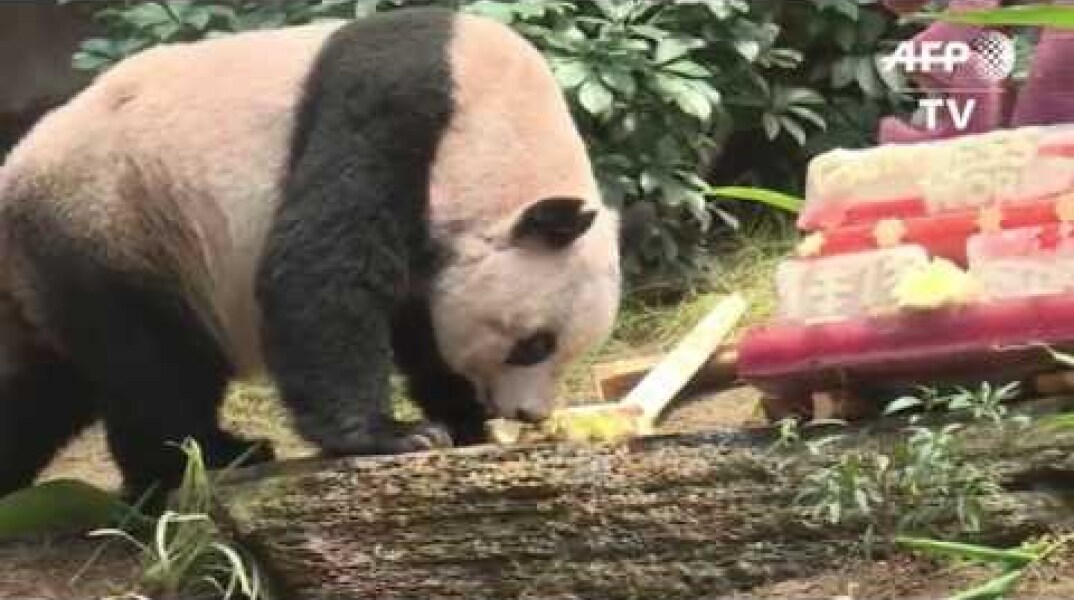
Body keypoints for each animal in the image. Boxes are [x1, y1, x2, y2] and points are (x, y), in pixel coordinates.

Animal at [0, 7, 621, 500]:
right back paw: (202, 462)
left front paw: (462, 416)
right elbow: (322, 268)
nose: (529, 414)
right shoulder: (390, 109)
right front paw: (395, 435)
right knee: (158, 365)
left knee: (47, 388)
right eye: (534, 345)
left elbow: (418, 319)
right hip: (121, 223)